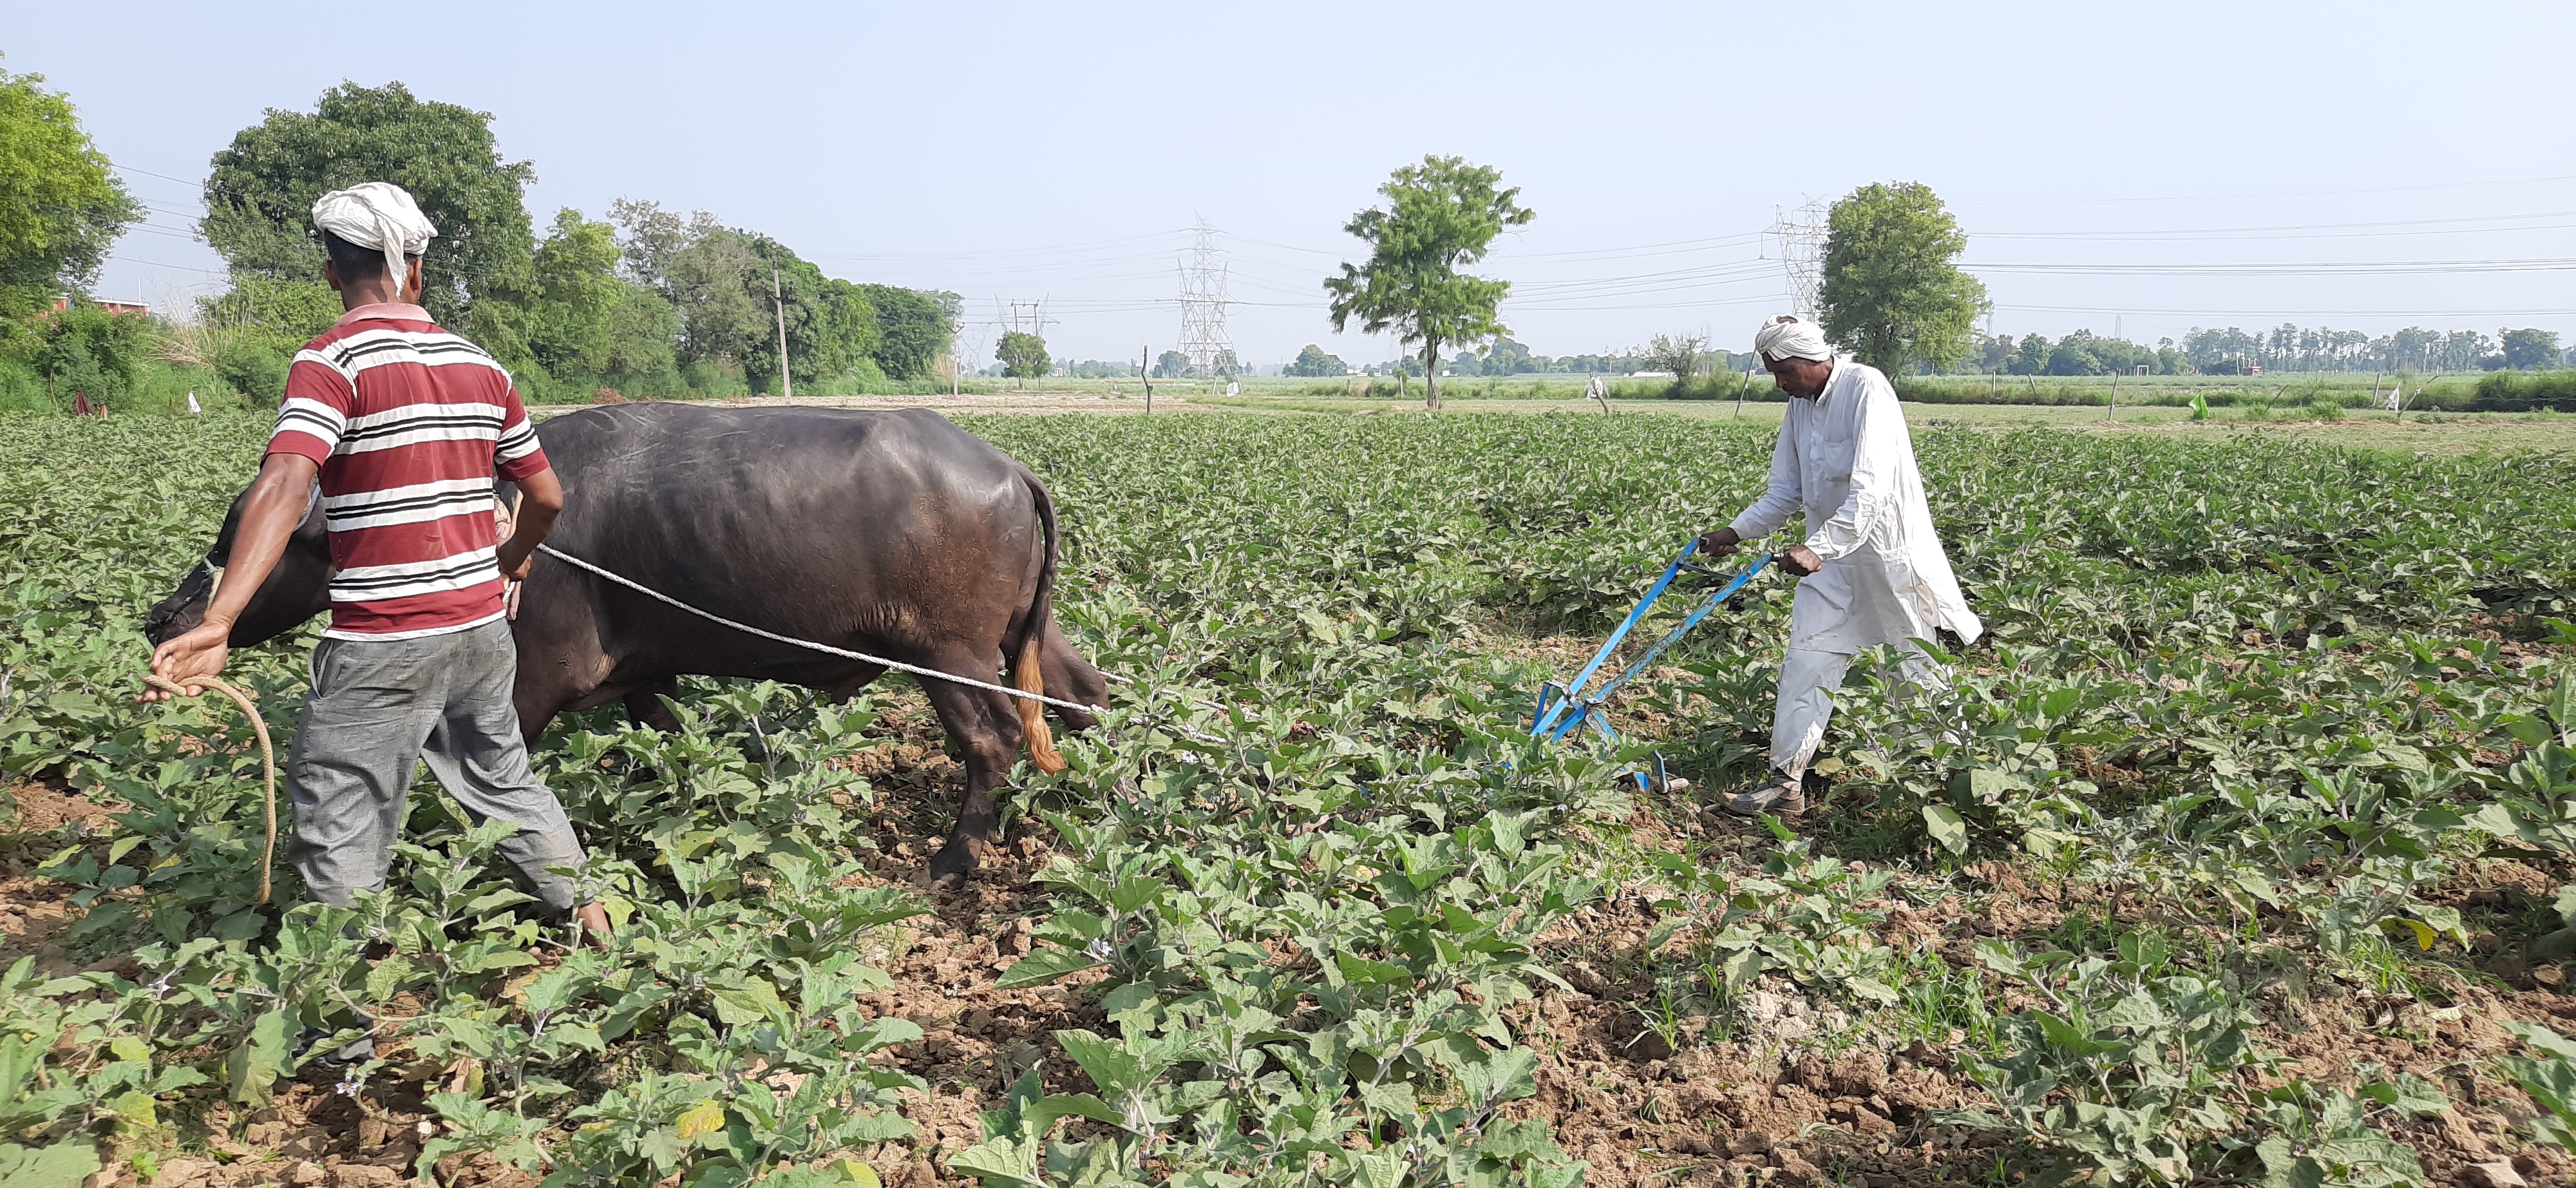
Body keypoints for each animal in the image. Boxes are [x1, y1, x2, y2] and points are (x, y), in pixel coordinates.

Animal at [144, 405, 1108, 881]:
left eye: (237, 527)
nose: (164, 619)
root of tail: (1006, 468)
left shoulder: (529, 686)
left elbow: (493, 792)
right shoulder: (650, 678)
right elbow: (676, 748)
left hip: (947, 656)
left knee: (992, 742)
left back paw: (954, 860)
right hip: (1023, 636)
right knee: (1082, 698)